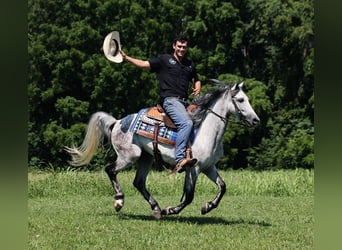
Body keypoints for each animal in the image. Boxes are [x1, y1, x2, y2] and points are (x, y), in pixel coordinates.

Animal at [65, 80, 260, 219]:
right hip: (130, 156)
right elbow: (189, 196)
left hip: (146, 157)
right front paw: (171, 210)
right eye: (241, 100)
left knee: (138, 182)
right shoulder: (193, 168)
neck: (206, 131)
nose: (256, 120)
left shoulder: (208, 167)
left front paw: (207, 207)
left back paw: (156, 208)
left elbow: (222, 187)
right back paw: (120, 201)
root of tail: (117, 122)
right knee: (110, 170)